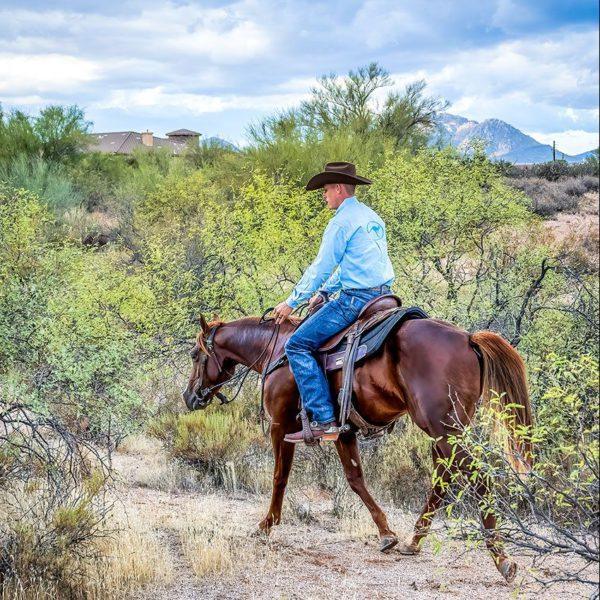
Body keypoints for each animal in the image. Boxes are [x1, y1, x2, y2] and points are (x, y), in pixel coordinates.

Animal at [183, 312, 532, 583]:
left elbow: (279, 476)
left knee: (478, 478)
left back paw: (502, 559)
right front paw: (386, 533)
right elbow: (356, 479)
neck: (278, 350)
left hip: (445, 430)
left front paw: (266, 525)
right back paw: (414, 541)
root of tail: (468, 338)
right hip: (444, 433)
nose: (190, 397)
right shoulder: (343, 431)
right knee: (442, 480)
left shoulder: (280, 425)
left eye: (195, 355)